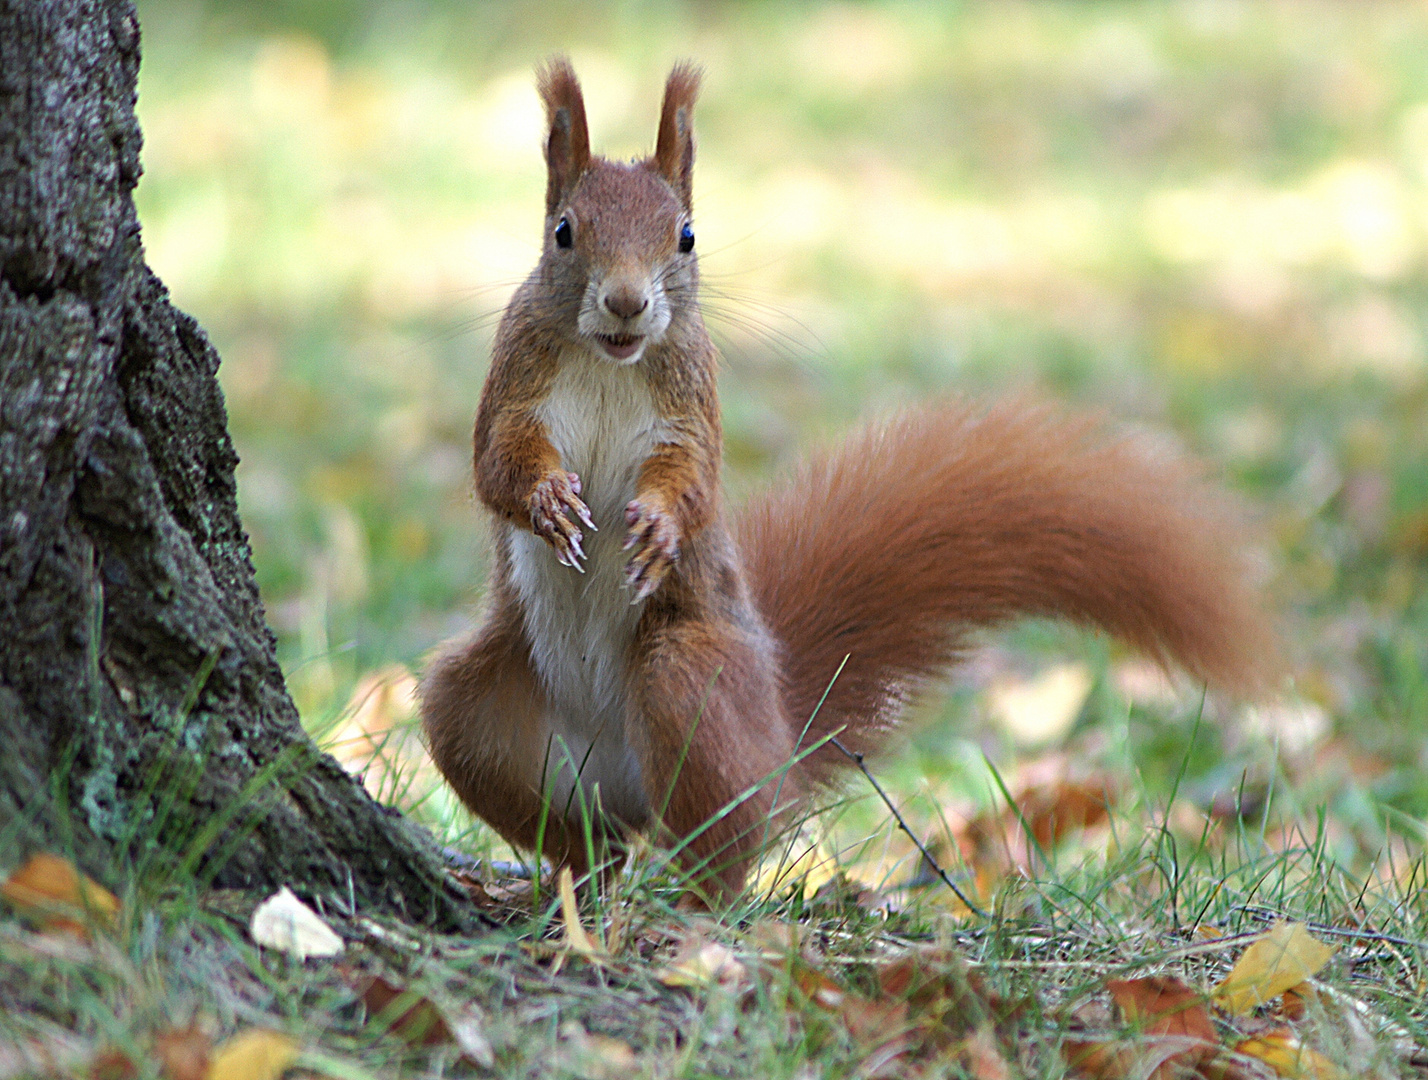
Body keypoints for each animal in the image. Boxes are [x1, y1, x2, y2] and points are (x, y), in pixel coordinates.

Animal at [416, 58, 1285, 902]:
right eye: (564, 233)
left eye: (687, 236)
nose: (628, 303)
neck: (609, 361)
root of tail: (774, 744)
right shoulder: (514, 378)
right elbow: (496, 465)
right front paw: (549, 503)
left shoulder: (692, 403)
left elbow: (692, 480)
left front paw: (658, 523)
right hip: (473, 709)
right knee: (583, 838)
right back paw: (569, 894)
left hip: (692, 680)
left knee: (718, 847)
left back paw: (690, 906)